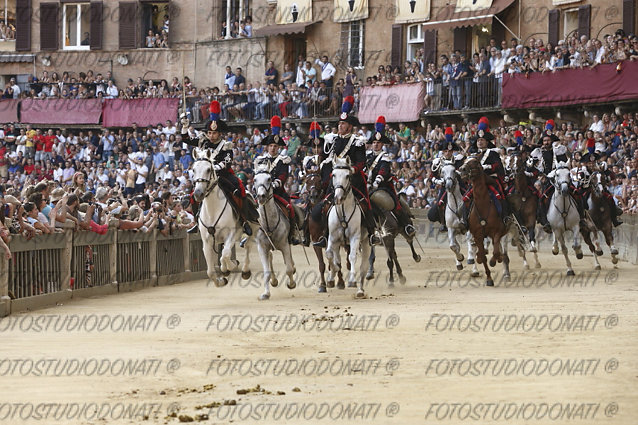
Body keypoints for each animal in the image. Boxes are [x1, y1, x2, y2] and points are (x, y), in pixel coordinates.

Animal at [191, 148, 254, 284]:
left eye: (208, 169)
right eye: (193, 169)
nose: (198, 194)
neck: (213, 210)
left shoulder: (231, 234)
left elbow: (225, 255)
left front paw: (230, 267)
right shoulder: (207, 241)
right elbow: (210, 271)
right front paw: (221, 281)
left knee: (248, 246)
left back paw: (245, 271)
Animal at [252, 164, 298, 300]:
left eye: (269, 179)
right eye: (255, 179)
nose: (261, 196)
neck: (269, 223)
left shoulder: (284, 245)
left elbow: (288, 269)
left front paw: (291, 284)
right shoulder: (262, 247)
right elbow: (266, 271)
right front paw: (266, 293)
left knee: (289, 260)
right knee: (270, 258)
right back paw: (274, 281)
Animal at [324, 157, 370, 298]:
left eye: (347, 176)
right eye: (333, 175)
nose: (338, 198)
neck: (343, 210)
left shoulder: (355, 237)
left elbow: (352, 257)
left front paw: (352, 280)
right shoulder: (332, 238)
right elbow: (329, 255)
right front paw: (332, 275)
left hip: (366, 242)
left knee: (363, 267)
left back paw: (360, 290)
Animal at [460, 157, 516, 286]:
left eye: (475, 161)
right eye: (465, 160)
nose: (462, 169)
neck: (483, 205)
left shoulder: (497, 232)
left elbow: (495, 252)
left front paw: (493, 261)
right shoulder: (477, 235)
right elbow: (483, 256)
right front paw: (489, 278)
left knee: (500, 250)